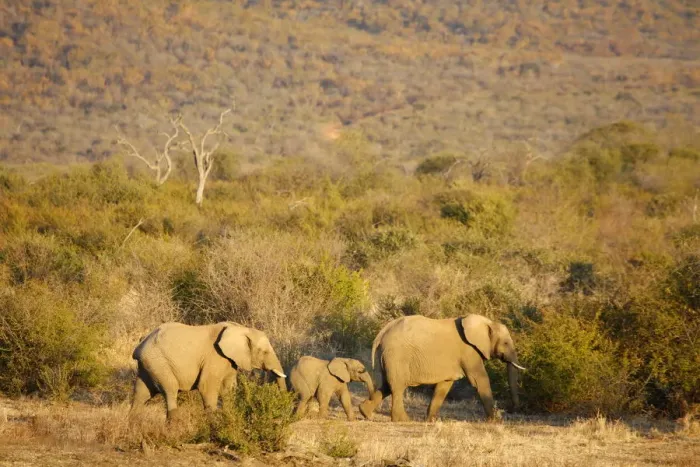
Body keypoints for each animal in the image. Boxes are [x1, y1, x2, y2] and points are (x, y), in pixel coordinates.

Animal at [131, 321, 287, 419]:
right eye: (264, 352)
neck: (240, 328)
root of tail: (139, 345)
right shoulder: (214, 356)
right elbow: (206, 387)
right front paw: (214, 424)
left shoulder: (230, 361)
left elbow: (228, 389)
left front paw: (229, 417)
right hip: (159, 363)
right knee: (170, 391)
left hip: (148, 365)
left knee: (141, 394)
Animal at [358, 314, 525, 422]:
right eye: (505, 343)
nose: (514, 408)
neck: (487, 322)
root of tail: (381, 333)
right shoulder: (469, 351)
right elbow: (479, 380)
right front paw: (496, 421)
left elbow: (445, 385)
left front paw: (431, 421)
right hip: (397, 355)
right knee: (398, 386)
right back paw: (403, 420)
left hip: (389, 357)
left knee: (387, 385)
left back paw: (364, 412)